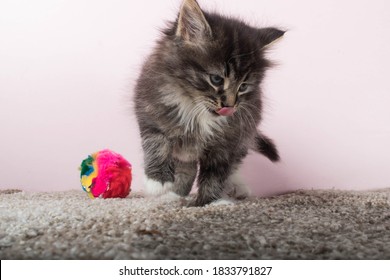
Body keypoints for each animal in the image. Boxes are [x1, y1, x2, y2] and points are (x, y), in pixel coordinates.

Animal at [134, 0, 284, 206]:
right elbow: (157, 146)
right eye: (216, 79)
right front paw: (158, 183)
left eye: (243, 86)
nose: (230, 106)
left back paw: (236, 187)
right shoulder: (150, 114)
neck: (196, 111)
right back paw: (174, 195)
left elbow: (216, 175)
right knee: (186, 169)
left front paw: (209, 202)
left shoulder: (229, 142)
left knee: (233, 164)